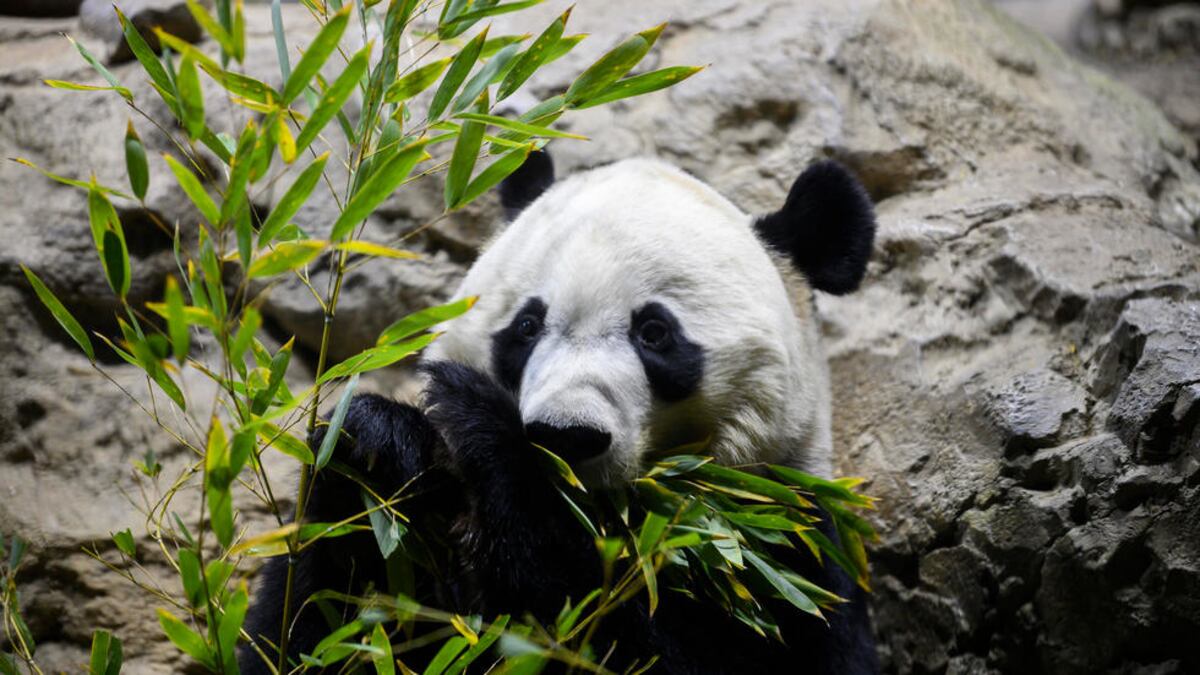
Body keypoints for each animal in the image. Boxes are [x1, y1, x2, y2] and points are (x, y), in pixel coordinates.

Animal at [241, 152, 883, 672]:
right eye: (526, 326)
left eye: (654, 333)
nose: (566, 437)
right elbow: (308, 634)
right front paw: (377, 444)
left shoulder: (781, 559)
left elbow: (619, 638)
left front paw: (482, 429)